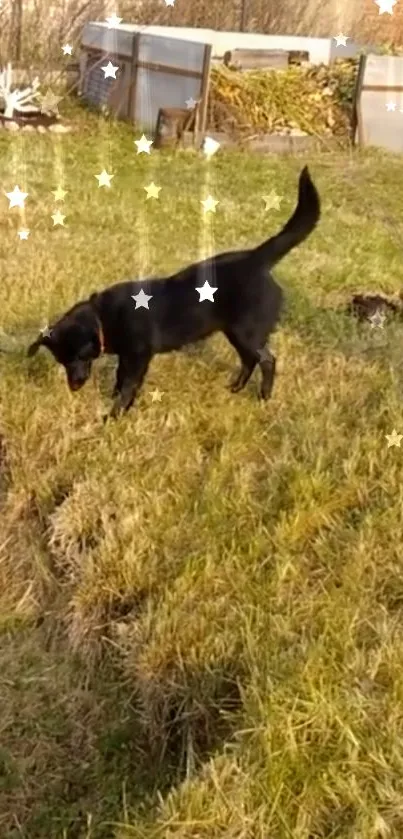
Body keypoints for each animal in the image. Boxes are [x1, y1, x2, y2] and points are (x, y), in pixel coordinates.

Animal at [26, 166, 320, 418]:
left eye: (77, 356)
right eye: (62, 361)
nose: (74, 387)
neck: (103, 317)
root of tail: (257, 258)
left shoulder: (138, 357)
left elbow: (128, 386)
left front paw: (115, 415)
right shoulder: (126, 357)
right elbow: (120, 380)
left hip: (246, 332)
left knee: (267, 360)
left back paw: (263, 396)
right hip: (236, 333)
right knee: (249, 360)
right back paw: (235, 388)